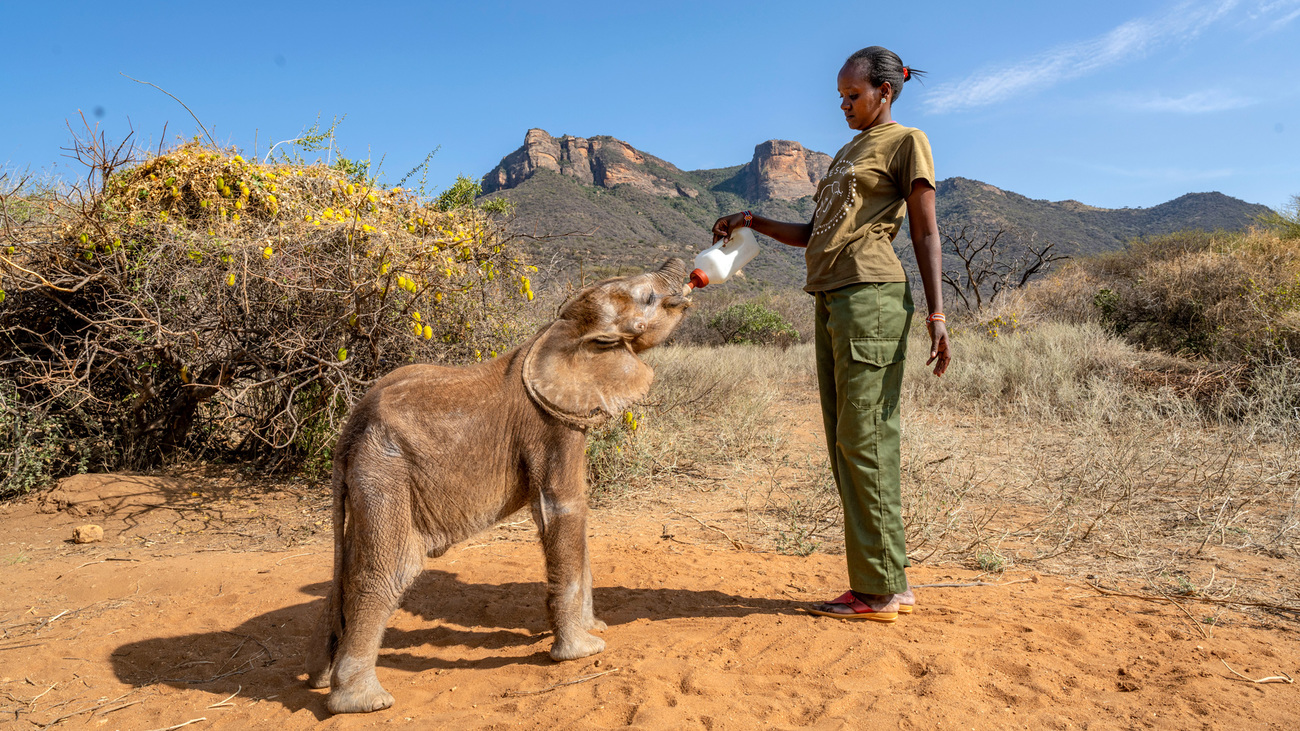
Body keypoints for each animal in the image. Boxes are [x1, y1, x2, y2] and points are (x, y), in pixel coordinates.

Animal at [306, 258, 692, 714]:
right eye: (647, 299)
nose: (691, 273)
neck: (560, 329)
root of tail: (351, 426)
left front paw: (596, 629)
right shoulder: (549, 423)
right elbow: (565, 508)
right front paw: (584, 652)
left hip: (367, 475)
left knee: (347, 564)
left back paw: (322, 680)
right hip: (385, 471)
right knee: (387, 570)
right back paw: (365, 703)